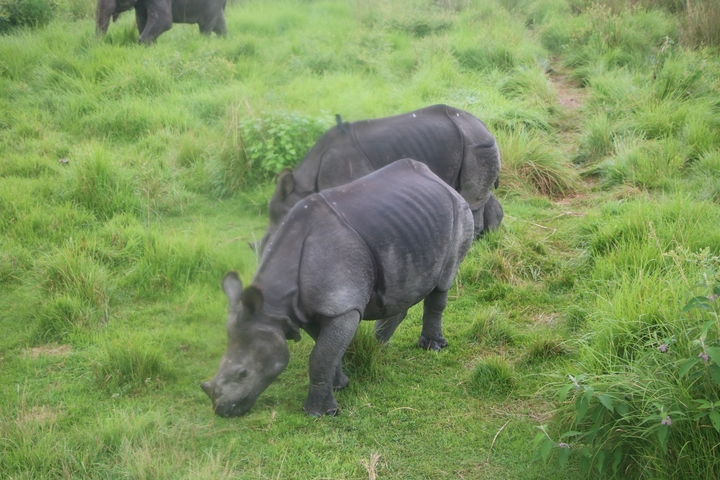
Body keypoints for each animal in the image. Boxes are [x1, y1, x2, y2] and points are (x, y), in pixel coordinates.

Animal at [202, 159, 474, 417]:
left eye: (243, 374)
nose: (222, 410)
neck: (273, 307)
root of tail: (435, 176)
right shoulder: (306, 308)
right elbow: (326, 350)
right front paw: (339, 385)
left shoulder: (342, 307)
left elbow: (320, 355)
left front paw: (319, 414)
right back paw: (379, 345)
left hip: (460, 210)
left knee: (443, 282)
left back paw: (432, 347)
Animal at [259, 104, 502, 256]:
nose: (262, 254)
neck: (304, 185)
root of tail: (483, 125)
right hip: (474, 142)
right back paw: (489, 238)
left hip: (475, 143)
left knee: (471, 198)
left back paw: (472, 249)